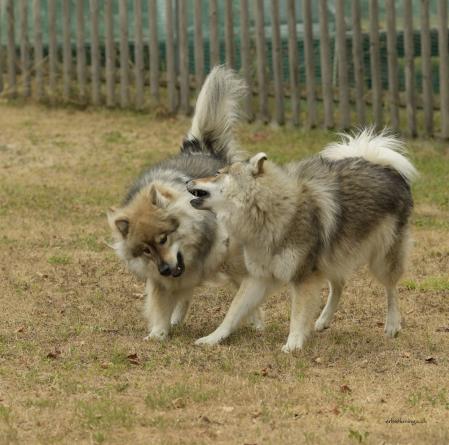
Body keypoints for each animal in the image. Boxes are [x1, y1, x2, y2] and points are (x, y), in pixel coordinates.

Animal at [188, 127, 416, 350]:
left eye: (218, 173)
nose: (188, 180)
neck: (270, 210)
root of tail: (382, 166)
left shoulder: (302, 277)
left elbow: (297, 314)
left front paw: (293, 344)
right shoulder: (258, 277)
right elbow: (233, 312)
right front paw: (213, 338)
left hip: (382, 260)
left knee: (391, 289)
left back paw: (392, 325)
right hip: (335, 256)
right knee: (339, 284)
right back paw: (323, 320)